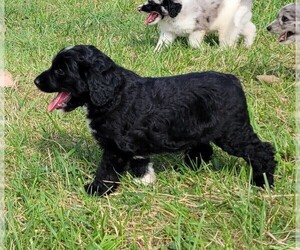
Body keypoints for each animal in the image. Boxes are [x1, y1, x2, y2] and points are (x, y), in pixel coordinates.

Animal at [34, 46, 276, 196]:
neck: (113, 94)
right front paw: (144, 179)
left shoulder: (114, 147)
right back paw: (189, 167)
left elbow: (106, 170)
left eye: (61, 70)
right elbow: (139, 158)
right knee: (204, 149)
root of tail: (233, 80)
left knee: (261, 150)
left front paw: (96, 190)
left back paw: (263, 181)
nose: (36, 81)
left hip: (232, 132)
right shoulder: (132, 142)